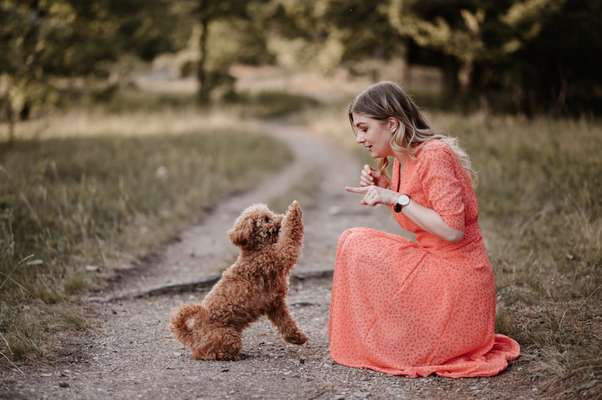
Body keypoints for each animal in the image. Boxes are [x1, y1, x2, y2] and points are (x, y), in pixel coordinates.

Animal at [171, 202, 308, 360]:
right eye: (266, 219)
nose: (280, 217)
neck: (256, 251)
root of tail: (193, 337)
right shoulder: (281, 255)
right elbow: (292, 237)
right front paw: (294, 209)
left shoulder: (275, 304)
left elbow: (286, 324)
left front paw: (298, 338)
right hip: (228, 336)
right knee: (212, 353)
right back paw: (235, 355)